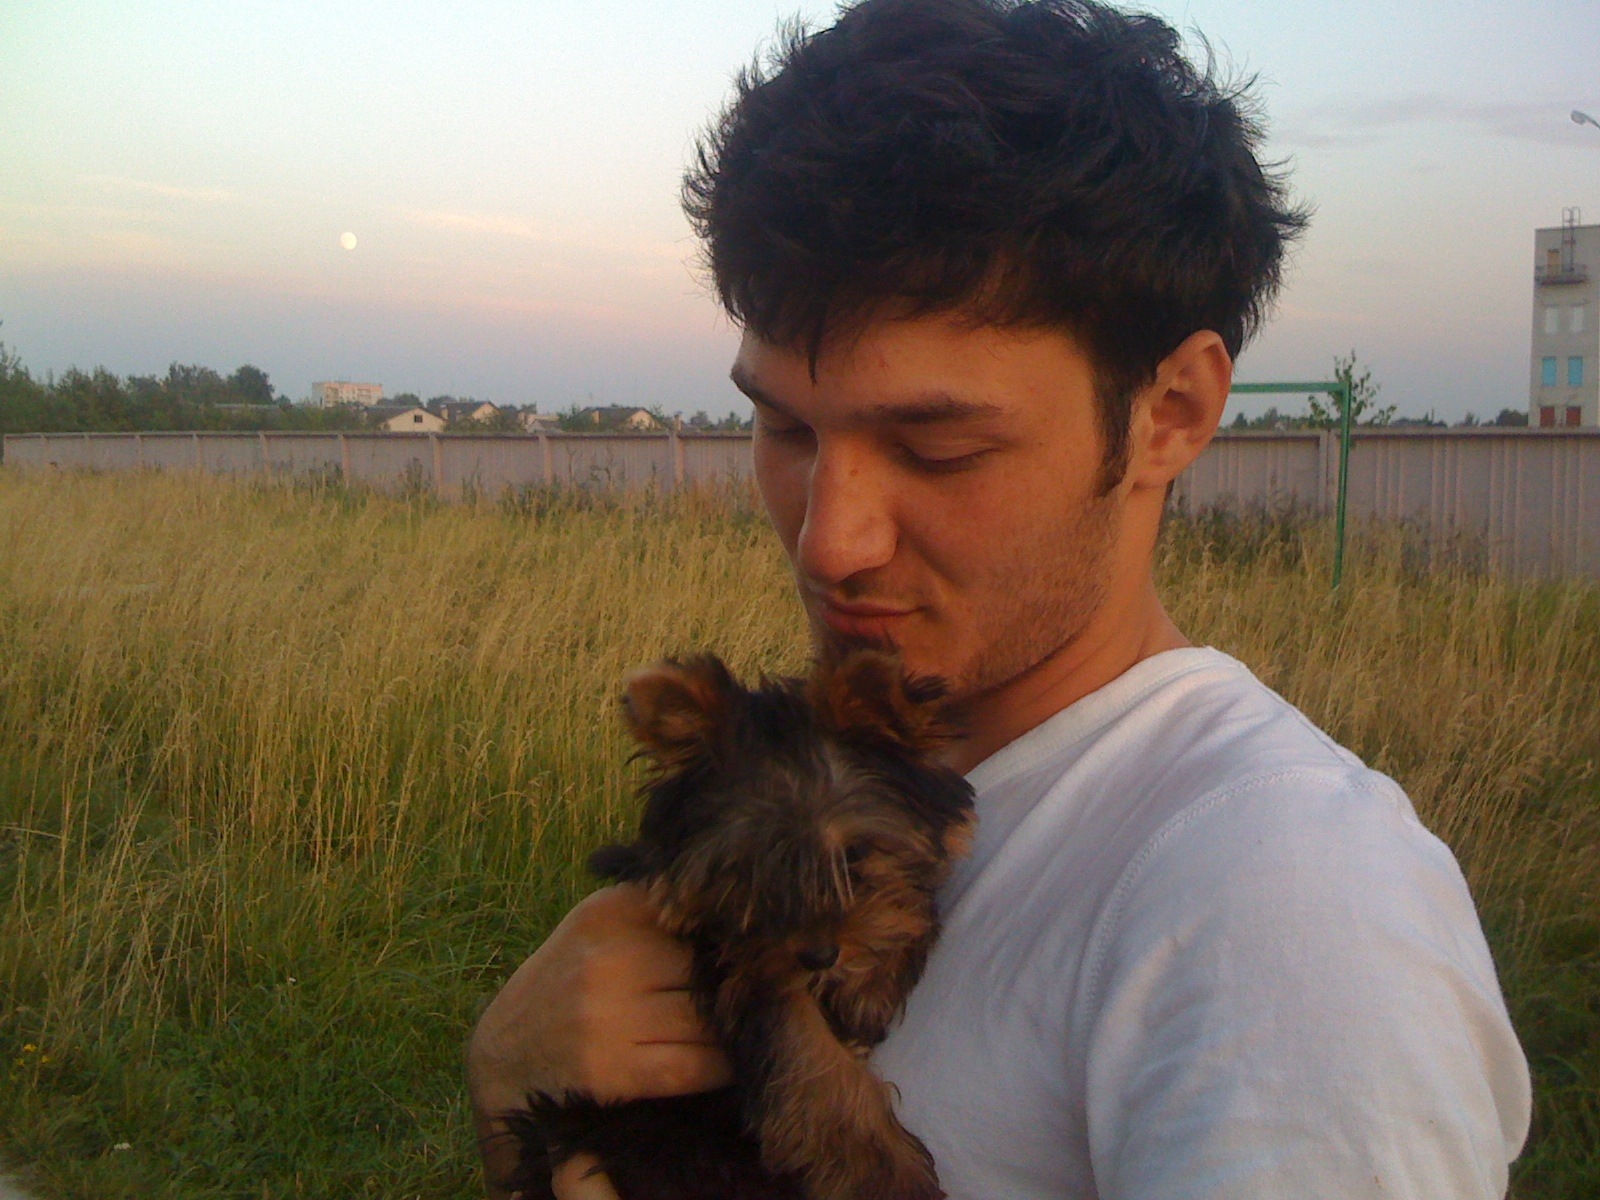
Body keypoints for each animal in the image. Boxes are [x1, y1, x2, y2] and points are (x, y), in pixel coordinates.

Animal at [504, 649, 976, 1200]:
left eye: (854, 856)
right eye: (748, 869)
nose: (819, 955)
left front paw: (874, 980)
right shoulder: (741, 962)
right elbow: (804, 1052)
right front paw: (886, 1176)